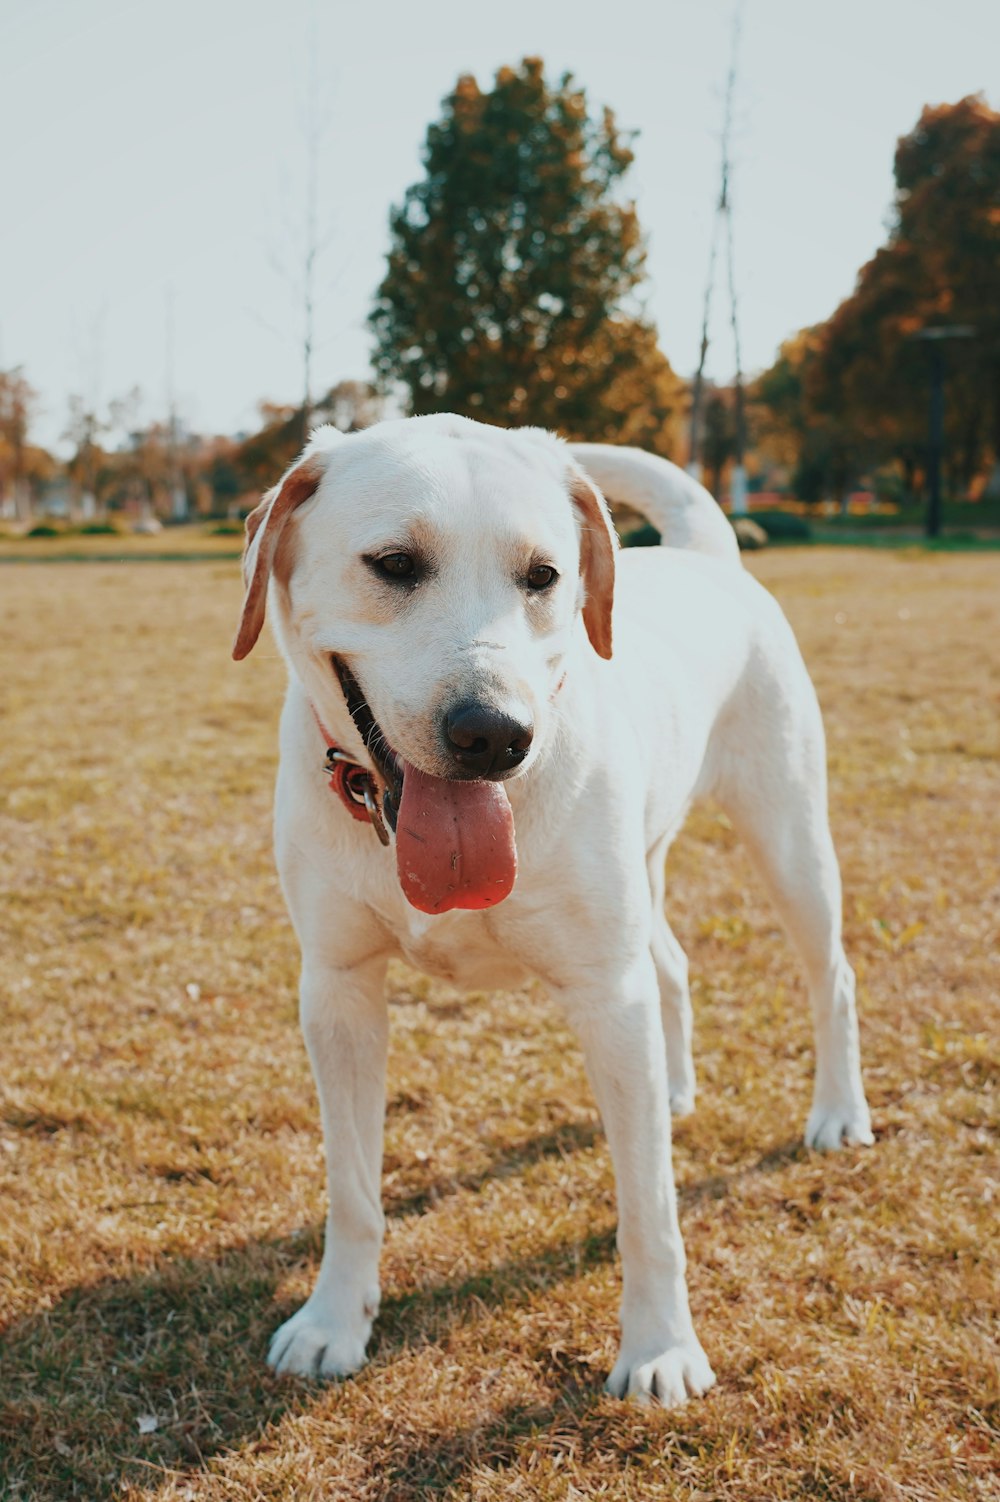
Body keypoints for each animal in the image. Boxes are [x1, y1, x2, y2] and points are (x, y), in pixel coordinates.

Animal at [234, 414, 870, 1405]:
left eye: (544, 576)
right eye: (394, 564)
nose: (494, 733)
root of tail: (704, 556)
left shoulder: (606, 994)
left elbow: (648, 1202)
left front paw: (660, 1348)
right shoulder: (336, 991)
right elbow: (352, 1189)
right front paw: (335, 1321)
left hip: (791, 840)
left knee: (828, 976)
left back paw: (837, 1113)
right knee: (671, 966)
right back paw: (674, 1083)